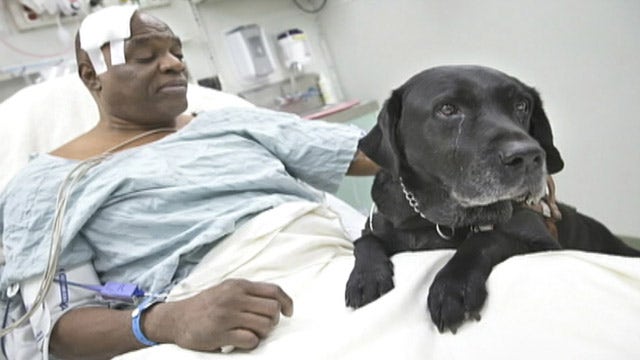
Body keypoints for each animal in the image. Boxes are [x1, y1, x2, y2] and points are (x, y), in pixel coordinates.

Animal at [344, 64, 640, 332]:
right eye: (447, 109)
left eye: (522, 105)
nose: (529, 156)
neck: (434, 220)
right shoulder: (378, 227)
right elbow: (365, 241)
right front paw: (366, 277)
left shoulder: (544, 243)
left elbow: (485, 238)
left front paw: (453, 286)